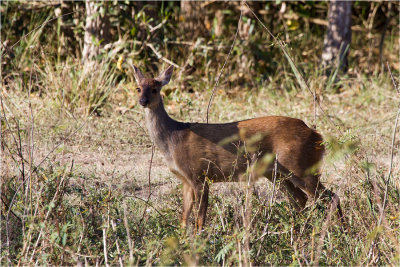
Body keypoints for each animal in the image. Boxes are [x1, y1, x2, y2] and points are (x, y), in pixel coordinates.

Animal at [133, 65, 342, 232]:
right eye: (138, 88)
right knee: (300, 199)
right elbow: (184, 219)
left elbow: (200, 219)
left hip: (300, 166)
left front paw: (198, 243)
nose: (143, 101)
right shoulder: (185, 180)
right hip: (277, 172)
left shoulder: (200, 175)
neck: (173, 139)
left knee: (331, 196)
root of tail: (317, 136)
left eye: (155, 89)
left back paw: (340, 232)